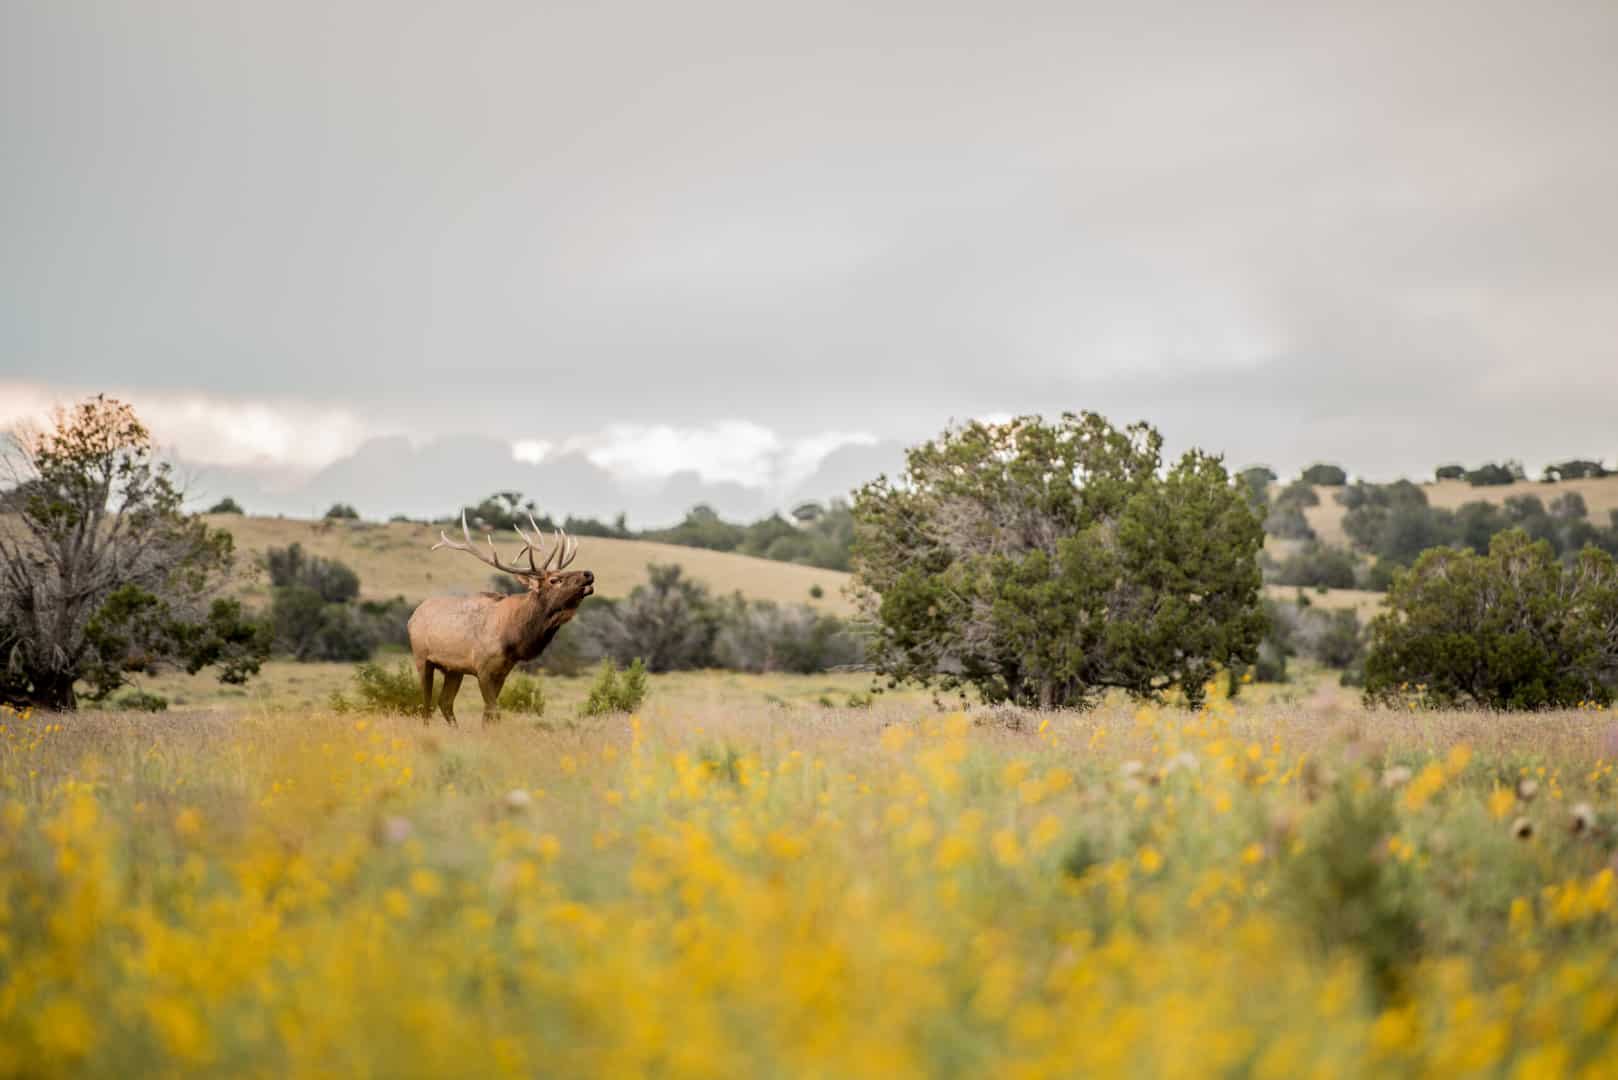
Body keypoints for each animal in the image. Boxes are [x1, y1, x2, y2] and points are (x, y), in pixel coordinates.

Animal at [408, 511, 594, 725]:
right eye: (555, 580)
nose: (588, 573)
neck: (513, 638)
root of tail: (412, 617)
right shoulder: (482, 668)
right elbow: (494, 711)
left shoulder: (502, 671)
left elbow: (488, 714)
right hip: (422, 658)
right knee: (426, 704)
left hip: (453, 669)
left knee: (445, 702)